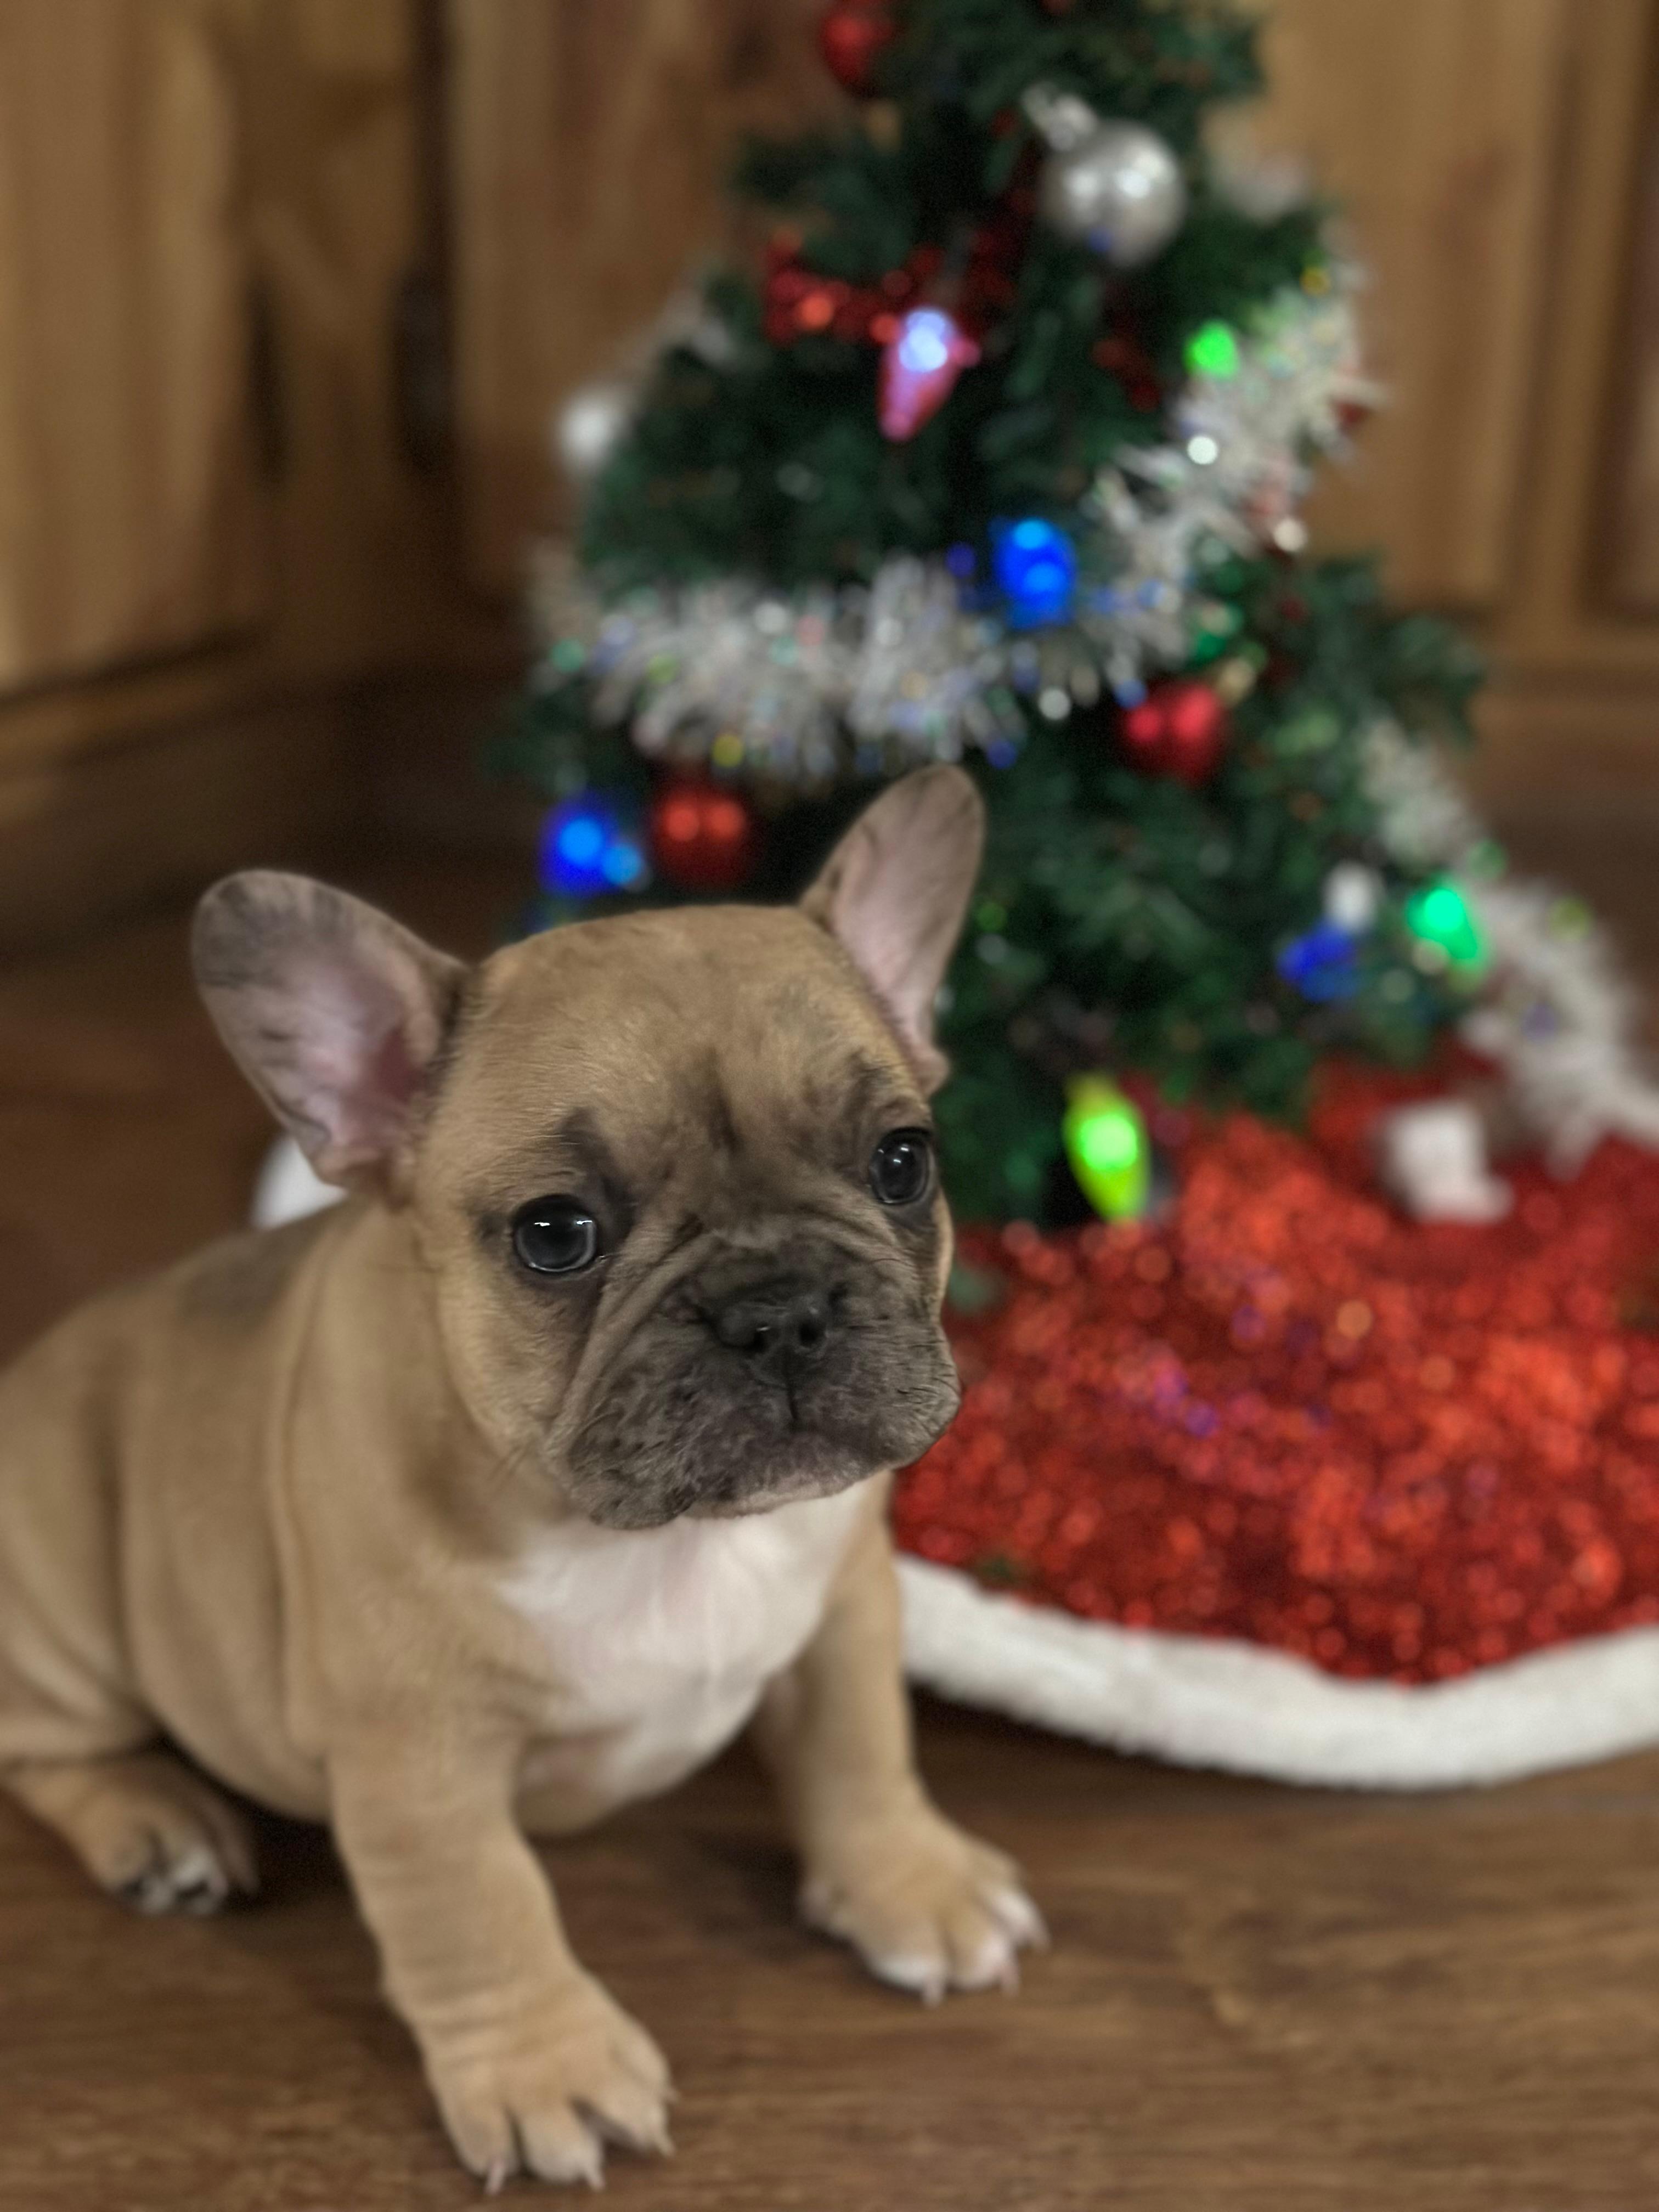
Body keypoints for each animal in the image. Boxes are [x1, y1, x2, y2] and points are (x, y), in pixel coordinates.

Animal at [0, 770, 1040, 2185]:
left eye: (903, 1161)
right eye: (557, 1235)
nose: (778, 1310)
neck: (655, 1538)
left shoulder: (844, 1608)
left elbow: (863, 1746)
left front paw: (911, 1884)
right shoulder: (416, 1754)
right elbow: (480, 1908)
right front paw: (549, 2069)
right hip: (62, 1598)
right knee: (46, 1744)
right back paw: (156, 1823)